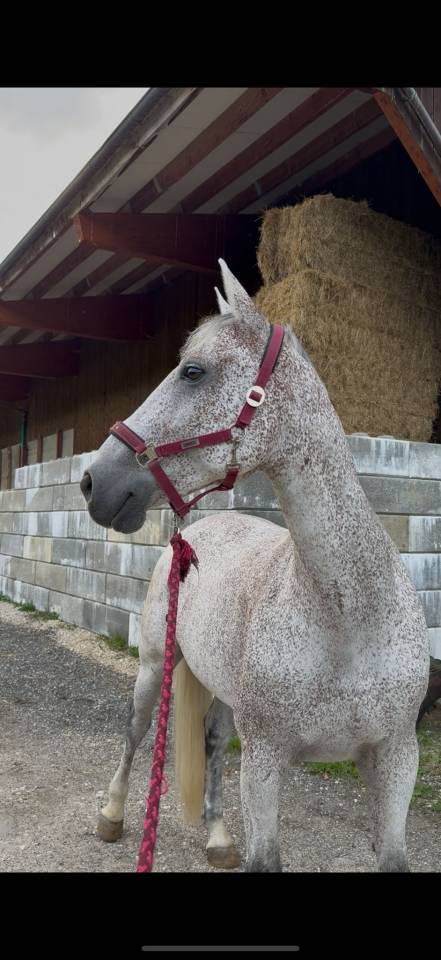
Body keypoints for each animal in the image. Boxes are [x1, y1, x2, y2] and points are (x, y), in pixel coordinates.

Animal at [80, 260, 429, 872]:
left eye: (193, 371)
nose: (95, 482)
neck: (349, 620)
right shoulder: (266, 761)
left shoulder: (395, 762)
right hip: (154, 666)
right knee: (136, 731)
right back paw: (113, 815)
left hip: (220, 691)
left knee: (214, 745)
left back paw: (219, 837)